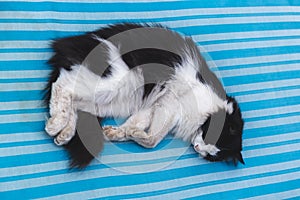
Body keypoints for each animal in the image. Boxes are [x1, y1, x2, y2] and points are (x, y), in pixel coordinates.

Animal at [45, 22, 246, 168]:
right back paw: (55, 125)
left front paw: (117, 132)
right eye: (209, 139)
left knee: (74, 101)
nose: (197, 148)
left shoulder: (155, 106)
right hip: (113, 81)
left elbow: (136, 124)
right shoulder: (169, 103)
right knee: (63, 84)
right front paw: (136, 134)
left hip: (111, 102)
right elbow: (153, 140)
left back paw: (64, 134)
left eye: (209, 154)